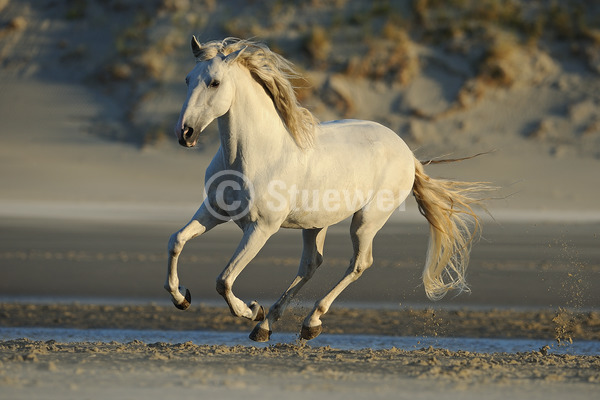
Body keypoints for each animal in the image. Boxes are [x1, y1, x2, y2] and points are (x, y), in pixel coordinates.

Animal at [164, 37, 488, 342]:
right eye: (187, 79)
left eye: (214, 82)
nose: (185, 133)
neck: (255, 154)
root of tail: (407, 152)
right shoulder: (214, 211)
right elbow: (176, 241)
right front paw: (182, 298)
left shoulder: (261, 228)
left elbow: (224, 280)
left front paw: (251, 310)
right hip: (315, 223)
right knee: (311, 264)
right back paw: (267, 327)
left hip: (366, 221)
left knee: (359, 264)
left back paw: (309, 322)